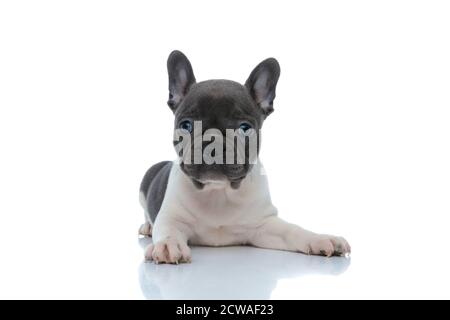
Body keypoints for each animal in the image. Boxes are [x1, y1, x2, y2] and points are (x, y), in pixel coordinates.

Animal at [139, 50, 350, 264]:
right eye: (186, 125)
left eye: (244, 128)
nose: (213, 143)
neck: (218, 192)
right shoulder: (171, 218)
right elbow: (168, 229)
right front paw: (167, 245)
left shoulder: (264, 224)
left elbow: (293, 230)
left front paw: (320, 238)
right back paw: (147, 227)